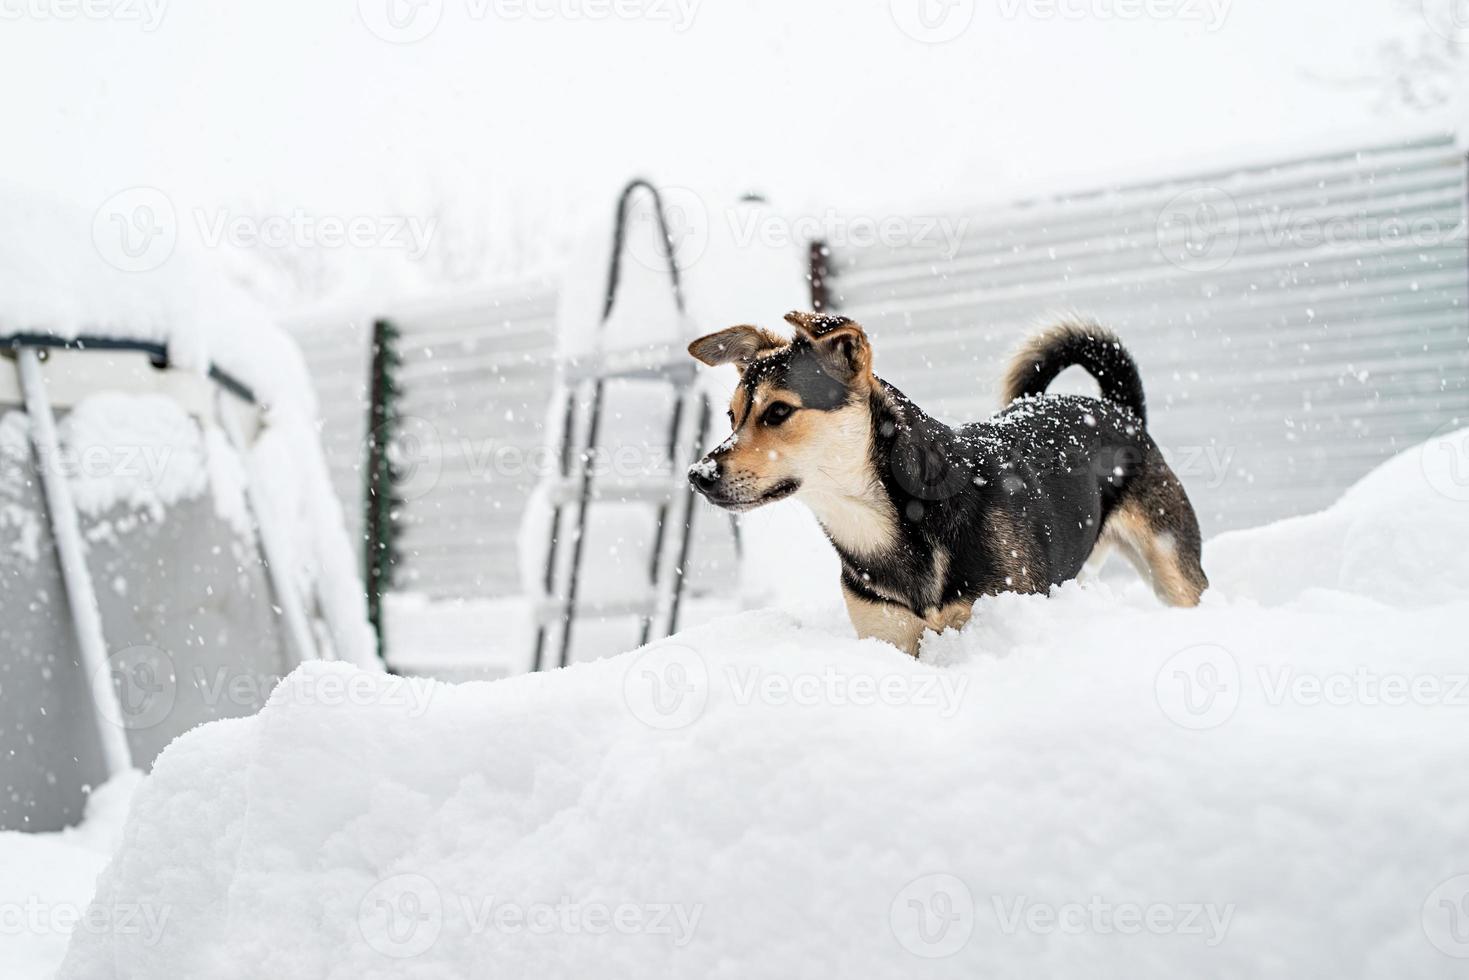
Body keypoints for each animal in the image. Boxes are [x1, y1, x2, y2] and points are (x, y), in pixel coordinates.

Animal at [684, 310, 1204, 655]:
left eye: (778, 412)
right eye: (731, 416)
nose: (697, 476)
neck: (881, 522)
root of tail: (1118, 407)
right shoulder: (887, 637)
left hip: (1174, 568)